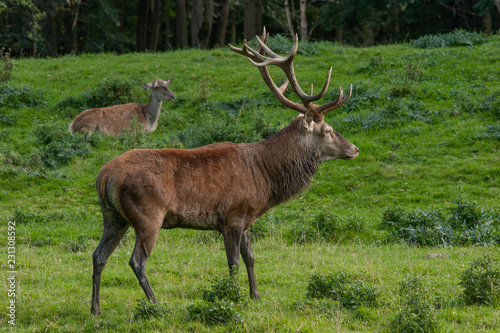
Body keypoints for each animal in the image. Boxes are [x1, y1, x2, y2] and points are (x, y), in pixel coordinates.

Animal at [89, 29, 356, 314]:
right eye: (328, 130)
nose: (354, 148)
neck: (265, 178)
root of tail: (104, 176)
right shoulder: (233, 216)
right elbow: (233, 263)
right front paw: (233, 296)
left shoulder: (248, 218)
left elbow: (251, 258)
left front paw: (256, 296)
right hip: (148, 215)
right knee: (136, 260)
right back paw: (155, 303)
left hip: (113, 216)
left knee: (98, 255)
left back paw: (95, 308)